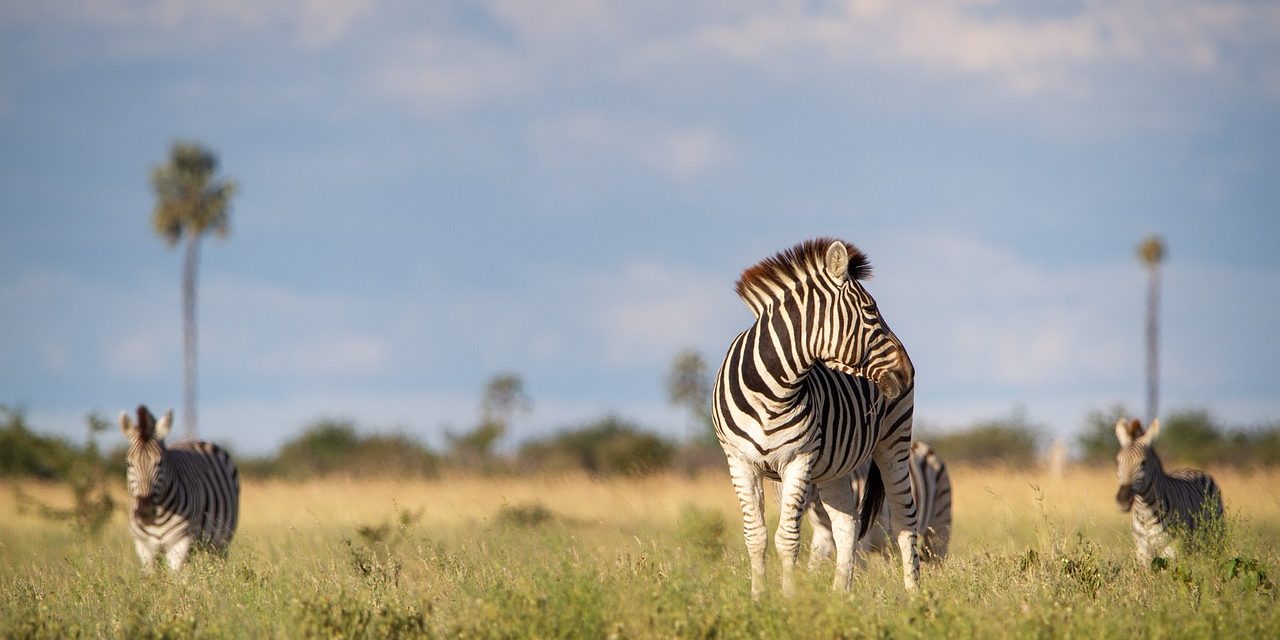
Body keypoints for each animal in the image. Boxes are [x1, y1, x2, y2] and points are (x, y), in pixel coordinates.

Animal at [119, 405, 240, 573]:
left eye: (160, 462)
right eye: (129, 463)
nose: (144, 511)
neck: (156, 519)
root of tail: (196, 440)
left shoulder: (181, 543)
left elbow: (174, 577)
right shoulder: (143, 547)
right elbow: (152, 576)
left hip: (219, 542)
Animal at [712, 238, 919, 597]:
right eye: (871, 312)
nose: (909, 373)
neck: (770, 391)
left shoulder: (799, 459)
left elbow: (787, 539)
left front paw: (788, 599)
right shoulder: (739, 461)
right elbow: (756, 536)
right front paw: (758, 598)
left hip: (894, 442)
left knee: (904, 522)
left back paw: (916, 596)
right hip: (835, 465)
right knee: (847, 523)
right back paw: (840, 595)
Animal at [808, 441, 951, 566]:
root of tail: (923, 446)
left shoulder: (861, 541)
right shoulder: (822, 536)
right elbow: (813, 568)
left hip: (939, 526)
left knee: (938, 560)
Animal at [1115, 417, 1224, 564]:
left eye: (1143, 462)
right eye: (1118, 462)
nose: (1122, 499)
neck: (1146, 513)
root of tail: (1192, 468)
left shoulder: (1173, 549)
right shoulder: (1142, 551)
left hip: (1215, 535)